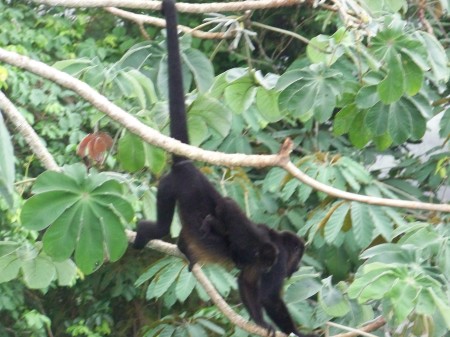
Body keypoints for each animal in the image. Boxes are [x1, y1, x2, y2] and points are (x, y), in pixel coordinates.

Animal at [133, 0, 278, 270]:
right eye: (267, 263)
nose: (272, 268)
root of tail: (186, 167)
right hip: (169, 186)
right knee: (161, 227)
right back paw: (144, 232)